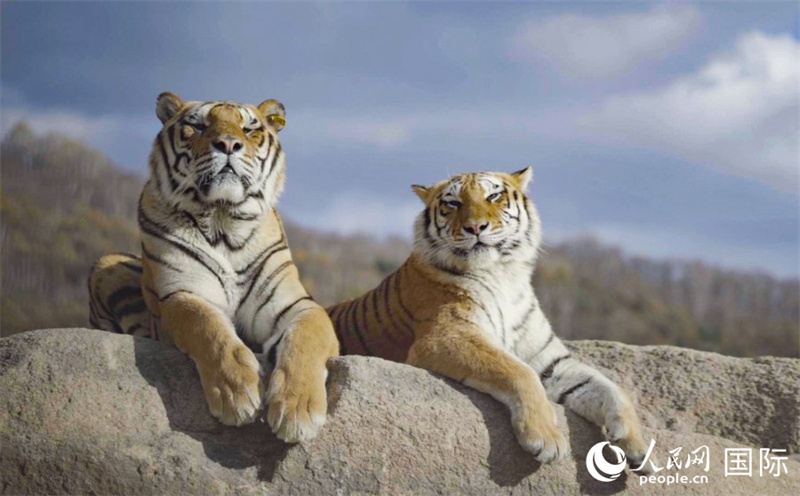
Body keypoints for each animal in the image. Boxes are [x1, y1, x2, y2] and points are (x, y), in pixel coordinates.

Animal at [88, 92, 339, 443]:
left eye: (250, 129)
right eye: (197, 125)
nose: (228, 144)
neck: (224, 221)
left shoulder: (296, 304)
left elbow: (306, 339)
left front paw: (298, 409)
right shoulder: (182, 295)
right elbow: (209, 328)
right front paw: (238, 395)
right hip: (106, 262)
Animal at [326, 168, 657, 472]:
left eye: (493, 197)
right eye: (453, 203)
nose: (475, 227)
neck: (504, 274)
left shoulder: (552, 362)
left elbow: (611, 389)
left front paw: (639, 449)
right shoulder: (446, 336)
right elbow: (519, 372)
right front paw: (546, 439)